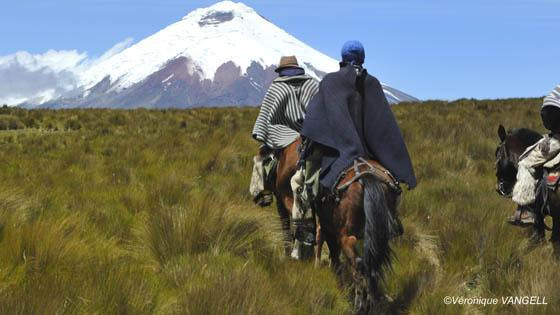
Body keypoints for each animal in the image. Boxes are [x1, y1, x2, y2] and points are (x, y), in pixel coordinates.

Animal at [272, 139, 402, 315]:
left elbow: (334, 260)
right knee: (372, 264)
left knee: (358, 264)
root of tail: (367, 177)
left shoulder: (325, 227)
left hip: (344, 235)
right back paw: (371, 301)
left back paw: (359, 305)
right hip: (378, 236)